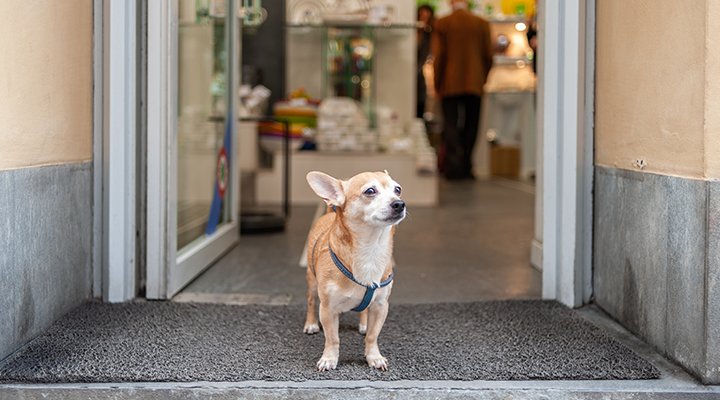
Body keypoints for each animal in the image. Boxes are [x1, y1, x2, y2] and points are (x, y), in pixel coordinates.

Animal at [302, 170, 404, 370]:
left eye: (398, 190)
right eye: (370, 191)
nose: (399, 203)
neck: (370, 250)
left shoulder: (381, 306)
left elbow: (373, 335)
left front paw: (374, 357)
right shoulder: (327, 309)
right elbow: (332, 338)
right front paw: (329, 359)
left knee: (364, 312)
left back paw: (363, 325)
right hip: (312, 283)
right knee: (311, 301)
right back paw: (311, 324)